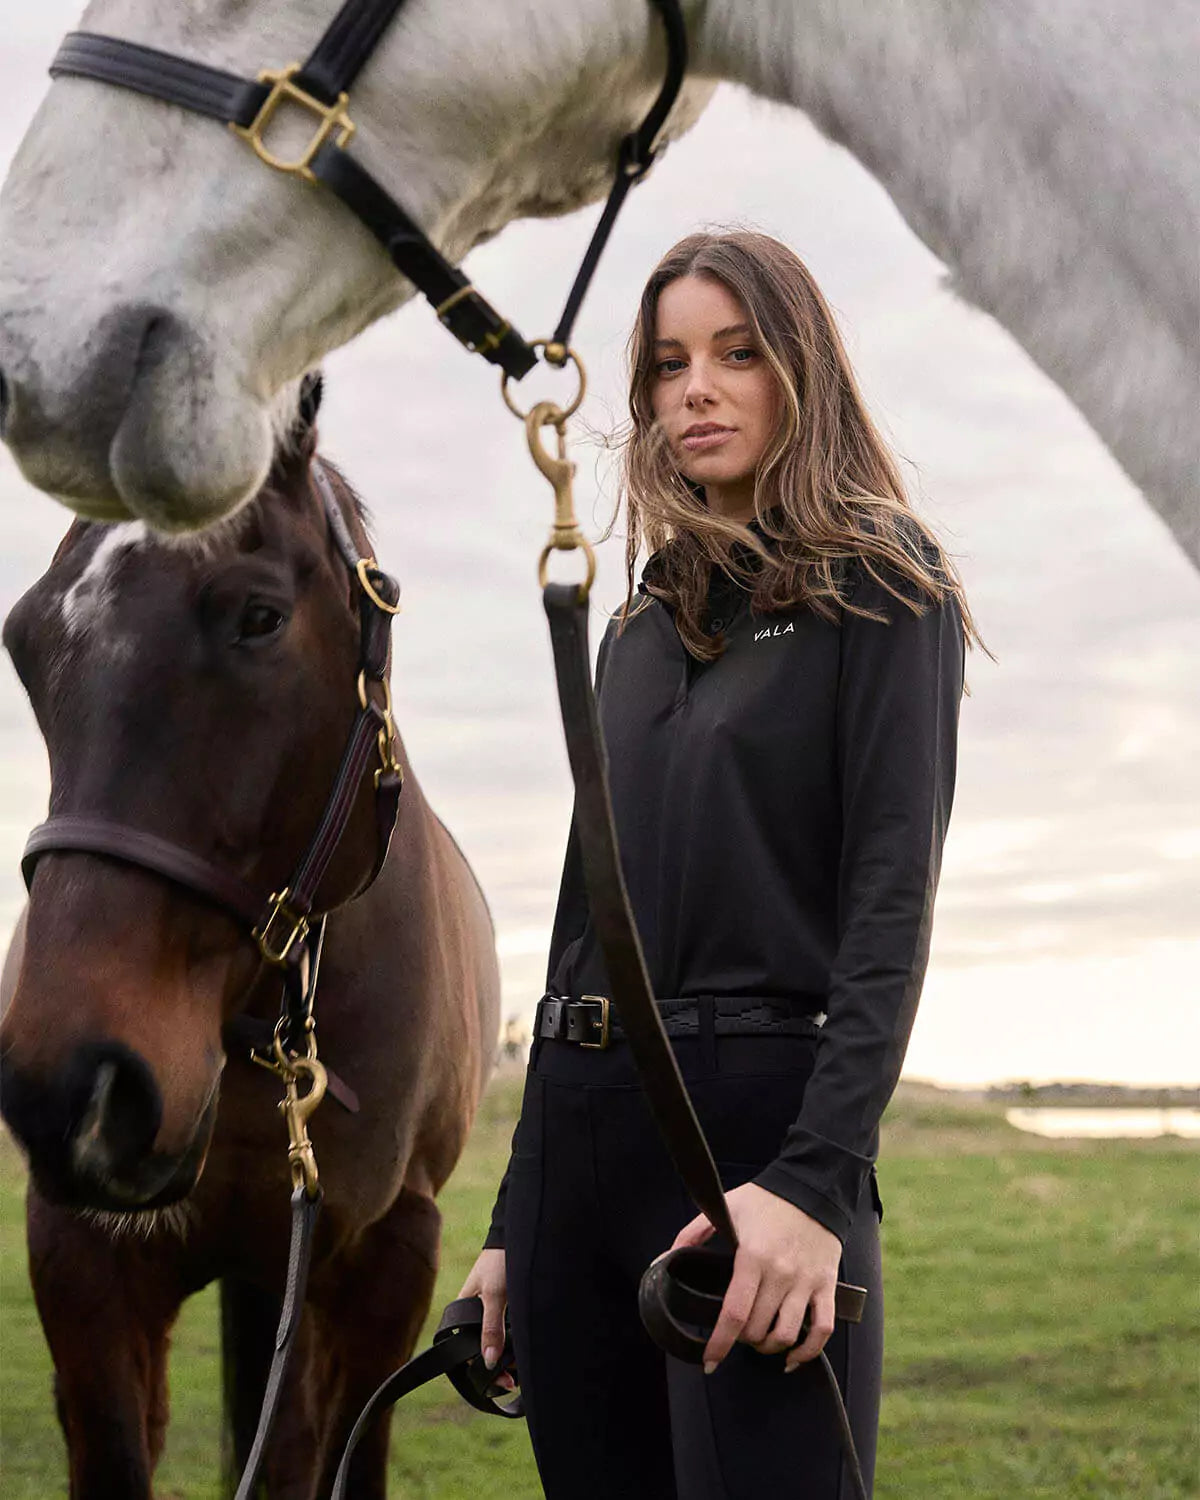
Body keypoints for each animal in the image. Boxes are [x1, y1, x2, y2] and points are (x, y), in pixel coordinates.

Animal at [0, 411, 498, 1500]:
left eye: (259, 618)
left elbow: (318, 1456)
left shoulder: (379, 1260)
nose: (73, 1090)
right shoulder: (85, 1258)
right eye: (24, 639)